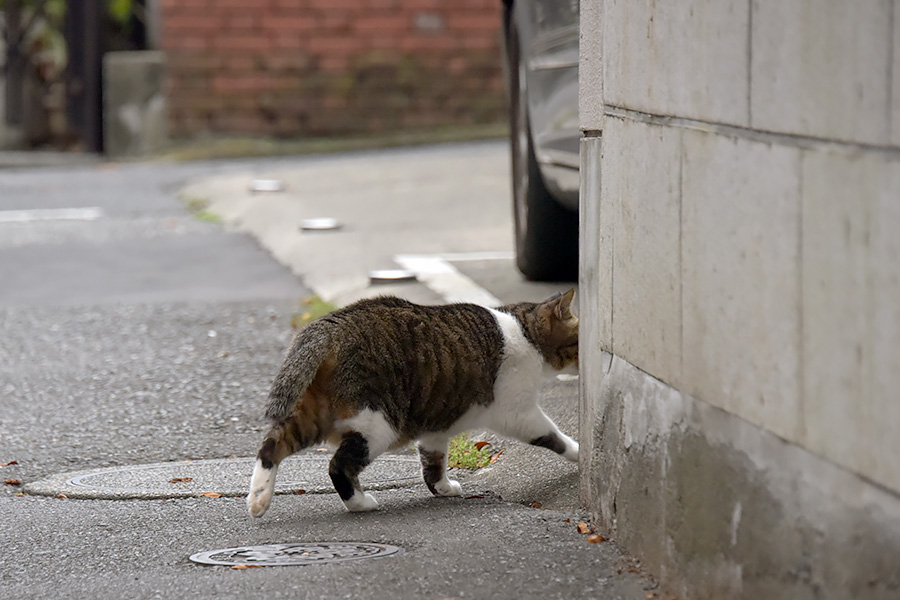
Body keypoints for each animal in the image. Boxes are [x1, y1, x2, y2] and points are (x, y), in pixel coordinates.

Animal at [250, 290, 580, 516]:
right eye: (578, 339)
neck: (525, 333)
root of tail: (331, 325)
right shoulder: (519, 413)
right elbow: (553, 436)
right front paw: (579, 452)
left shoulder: (435, 428)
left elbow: (433, 463)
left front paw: (443, 488)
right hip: (378, 424)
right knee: (338, 466)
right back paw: (360, 503)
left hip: (312, 414)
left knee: (272, 445)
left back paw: (258, 499)